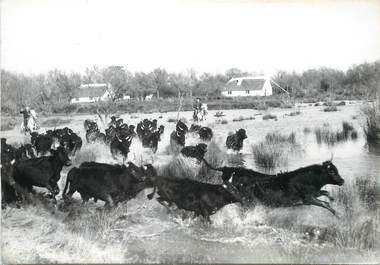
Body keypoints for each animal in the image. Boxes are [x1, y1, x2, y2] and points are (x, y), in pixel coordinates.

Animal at [203, 159, 346, 214]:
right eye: (332, 172)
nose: (342, 180)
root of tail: (229, 169)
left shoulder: (313, 193)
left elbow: (325, 193)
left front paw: (333, 200)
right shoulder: (307, 199)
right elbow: (324, 203)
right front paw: (337, 214)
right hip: (247, 201)